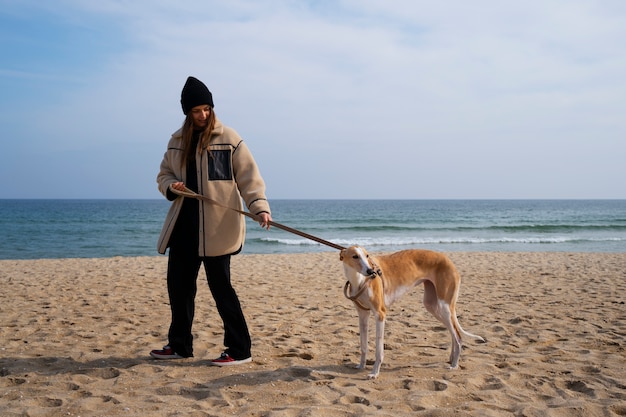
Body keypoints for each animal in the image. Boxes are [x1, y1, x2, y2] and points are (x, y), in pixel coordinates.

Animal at [338, 245, 486, 378]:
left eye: (367, 256)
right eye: (355, 256)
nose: (371, 272)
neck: (360, 280)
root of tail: (449, 260)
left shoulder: (380, 314)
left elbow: (379, 350)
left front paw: (374, 372)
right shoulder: (363, 315)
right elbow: (363, 345)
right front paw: (361, 365)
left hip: (444, 307)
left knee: (458, 336)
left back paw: (454, 365)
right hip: (433, 306)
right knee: (453, 333)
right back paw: (451, 358)